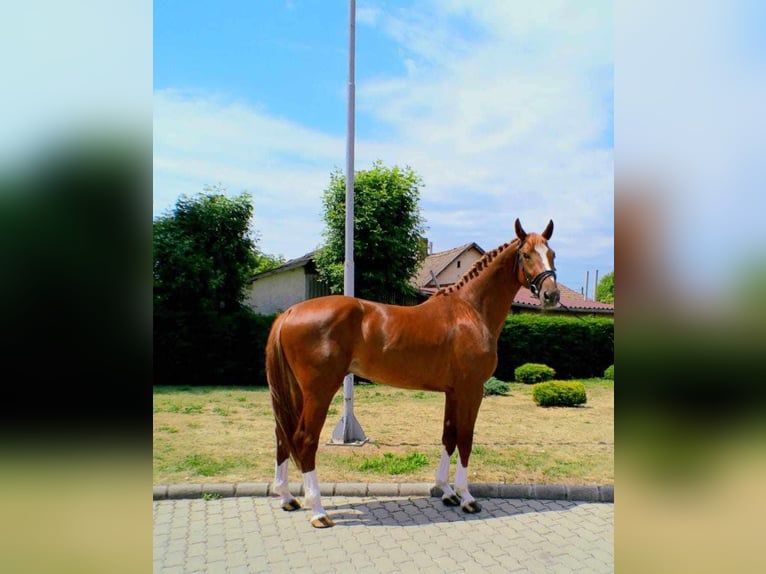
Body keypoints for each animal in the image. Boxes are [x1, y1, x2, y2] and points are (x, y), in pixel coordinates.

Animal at [268, 220, 560, 532]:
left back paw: (287, 497)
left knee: (282, 435)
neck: (470, 310)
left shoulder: (453, 392)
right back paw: (318, 511)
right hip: (319, 392)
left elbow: (448, 437)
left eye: (551, 253)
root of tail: (290, 312)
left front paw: (446, 492)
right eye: (527, 255)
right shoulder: (472, 390)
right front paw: (467, 497)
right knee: (304, 439)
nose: (551, 295)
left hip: (296, 391)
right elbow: (465, 439)